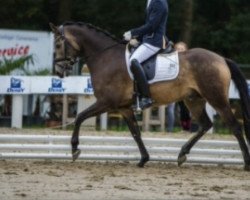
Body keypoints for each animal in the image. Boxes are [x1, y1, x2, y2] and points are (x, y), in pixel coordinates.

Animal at [49, 22, 250, 172]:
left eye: (58, 45)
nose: (58, 72)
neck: (105, 57)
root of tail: (222, 59)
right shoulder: (123, 107)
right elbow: (135, 132)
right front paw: (144, 159)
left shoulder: (106, 103)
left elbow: (79, 117)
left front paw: (74, 149)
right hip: (194, 100)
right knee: (206, 125)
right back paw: (182, 154)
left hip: (217, 99)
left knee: (234, 127)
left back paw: (246, 163)